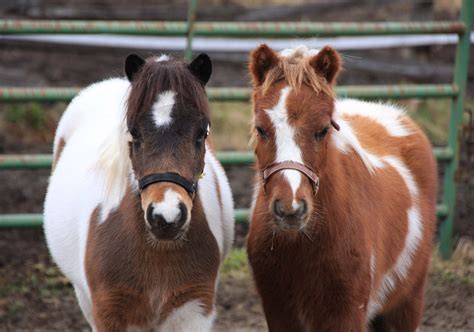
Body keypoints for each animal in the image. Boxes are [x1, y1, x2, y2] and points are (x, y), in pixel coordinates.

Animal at [248, 44, 436, 332]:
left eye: (323, 130)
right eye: (261, 129)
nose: (291, 208)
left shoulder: (346, 314)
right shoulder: (280, 313)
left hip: (407, 305)